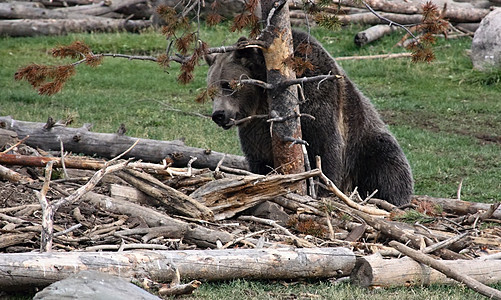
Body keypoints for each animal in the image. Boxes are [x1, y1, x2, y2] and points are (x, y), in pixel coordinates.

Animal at [205, 29, 412, 205]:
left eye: (227, 85)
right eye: (211, 91)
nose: (219, 115)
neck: (264, 100)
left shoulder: (316, 99)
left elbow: (324, 149)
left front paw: (322, 188)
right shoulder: (254, 127)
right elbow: (258, 158)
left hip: (365, 142)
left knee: (386, 165)